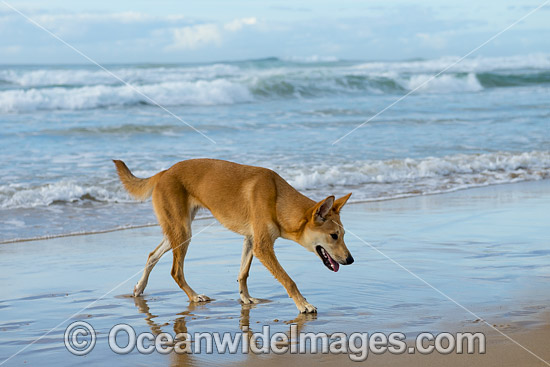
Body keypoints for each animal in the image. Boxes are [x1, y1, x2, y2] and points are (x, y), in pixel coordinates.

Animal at [114, 158, 356, 314]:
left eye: (343, 234)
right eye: (334, 236)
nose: (351, 260)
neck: (277, 200)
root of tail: (165, 172)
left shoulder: (251, 240)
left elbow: (243, 273)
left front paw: (245, 298)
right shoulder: (263, 247)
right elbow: (288, 280)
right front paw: (303, 304)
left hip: (177, 231)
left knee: (152, 255)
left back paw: (140, 288)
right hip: (183, 231)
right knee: (176, 271)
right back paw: (194, 296)